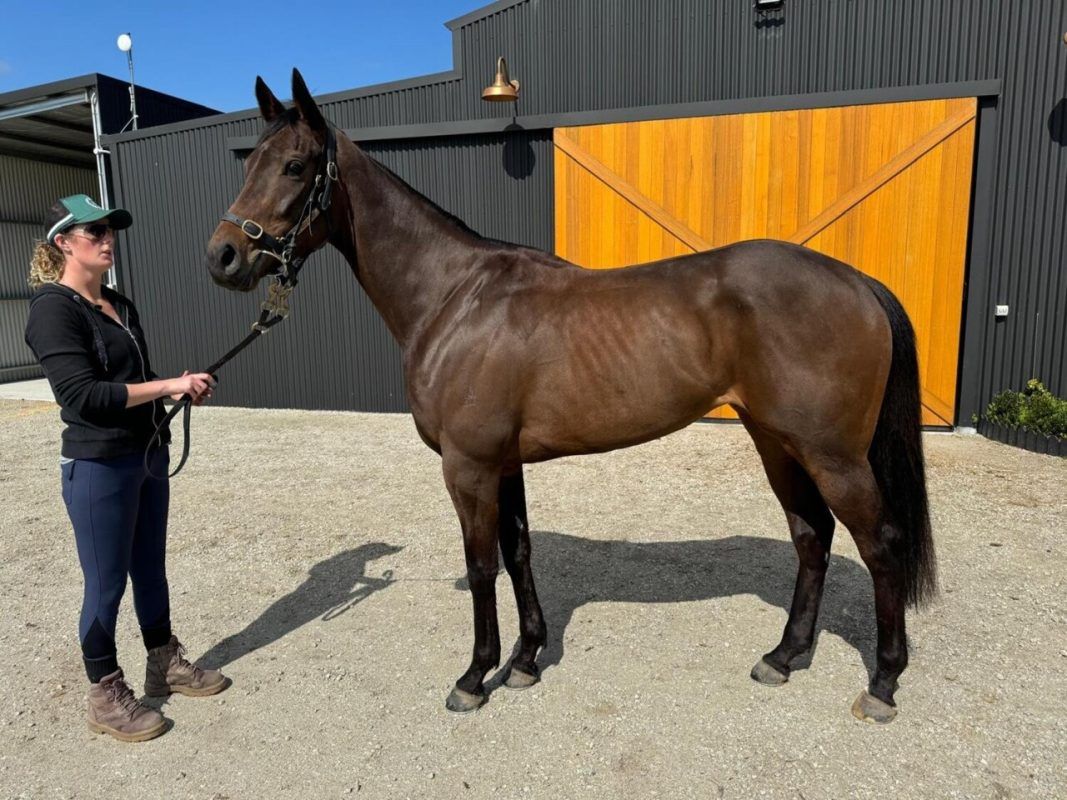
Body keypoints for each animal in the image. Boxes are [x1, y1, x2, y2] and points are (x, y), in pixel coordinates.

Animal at [201, 70, 934, 725]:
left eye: (295, 165)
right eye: (252, 161)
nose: (223, 256)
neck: (452, 297)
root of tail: (856, 281)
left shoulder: (468, 466)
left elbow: (482, 565)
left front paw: (475, 677)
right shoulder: (504, 464)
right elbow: (518, 553)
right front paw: (526, 661)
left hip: (832, 455)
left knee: (879, 545)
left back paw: (882, 684)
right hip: (775, 441)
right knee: (811, 537)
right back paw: (783, 657)